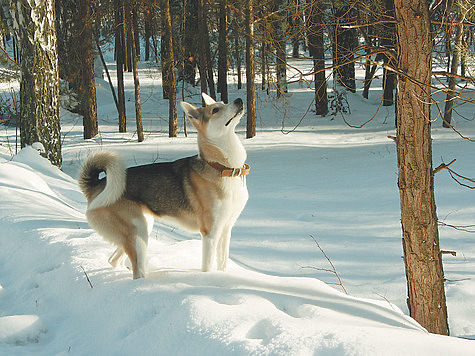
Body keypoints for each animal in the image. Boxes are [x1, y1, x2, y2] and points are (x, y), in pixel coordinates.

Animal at [79, 93, 249, 280]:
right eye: (216, 110)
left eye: (224, 102)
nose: (239, 100)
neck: (223, 168)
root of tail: (97, 184)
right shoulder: (210, 233)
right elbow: (208, 268)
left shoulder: (226, 229)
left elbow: (223, 264)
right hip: (138, 233)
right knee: (136, 270)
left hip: (142, 227)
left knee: (113, 260)